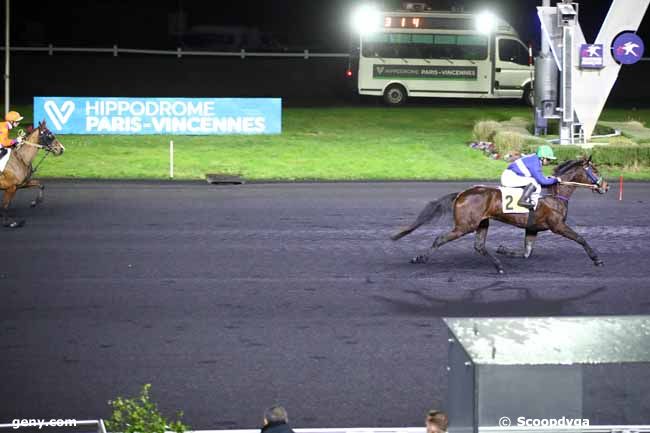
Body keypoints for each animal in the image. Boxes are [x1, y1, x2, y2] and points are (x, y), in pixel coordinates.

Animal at [390, 156, 608, 274]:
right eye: (595, 170)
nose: (606, 186)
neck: (554, 194)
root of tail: (462, 193)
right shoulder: (557, 225)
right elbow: (580, 238)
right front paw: (596, 259)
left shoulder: (533, 228)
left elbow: (526, 252)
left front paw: (504, 249)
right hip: (464, 225)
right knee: (440, 238)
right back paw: (420, 258)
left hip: (482, 223)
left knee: (479, 246)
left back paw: (499, 265)